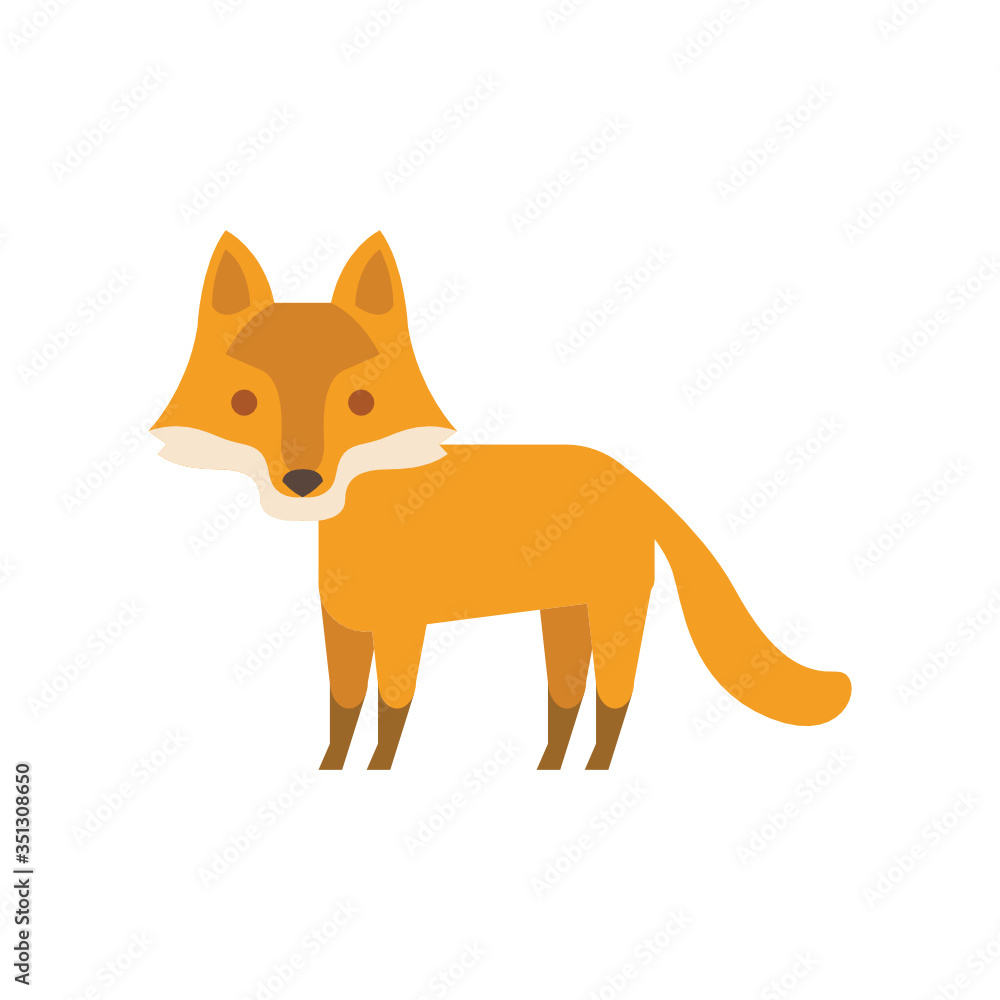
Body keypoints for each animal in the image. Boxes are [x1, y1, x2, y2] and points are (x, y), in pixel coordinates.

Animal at [152, 231, 852, 770]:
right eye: (245, 403)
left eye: (360, 402)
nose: (302, 480)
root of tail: (629, 476)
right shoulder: (343, 627)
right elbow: (341, 712)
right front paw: (329, 772)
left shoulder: (403, 627)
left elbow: (392, 713)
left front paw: (377, 774)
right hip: (563, 614)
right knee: (566, 698)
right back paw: (551, 767)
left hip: (614, 609)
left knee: (615, 699)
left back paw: (595, 770)